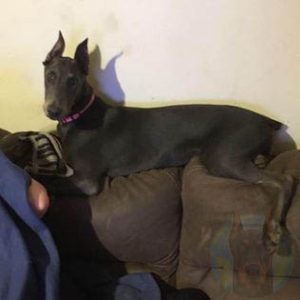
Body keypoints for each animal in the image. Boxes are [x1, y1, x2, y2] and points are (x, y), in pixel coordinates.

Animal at [42, 31, 292, 250]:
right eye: (50, 75)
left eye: (73, 81)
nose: (52, 110)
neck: (79, 114)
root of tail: (265, 119)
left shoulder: (87, 180)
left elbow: (49, 181)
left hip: (222, 157)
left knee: (283, 179)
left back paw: (272, 228)